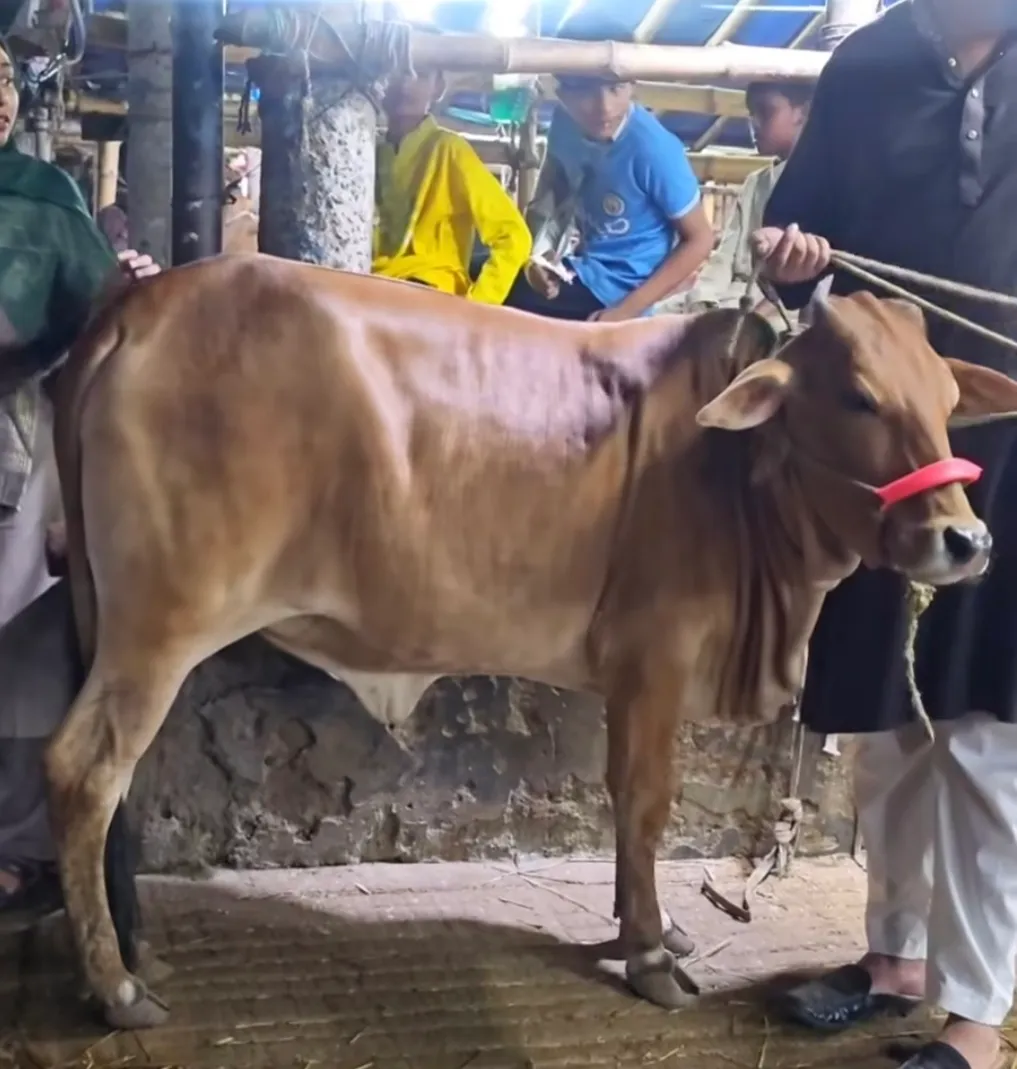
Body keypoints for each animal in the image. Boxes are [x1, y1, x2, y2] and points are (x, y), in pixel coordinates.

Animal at [41, 253, 1017, 1029]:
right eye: (858, 396)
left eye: (944, 400)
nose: (964, 539)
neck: (739, 480)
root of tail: (142, 303)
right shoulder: (656, 659)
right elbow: (645, 802)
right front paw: (649, 953)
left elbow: (625, 803)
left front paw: (646, 929)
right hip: (160, 625)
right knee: (85, 769)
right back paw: (116, 987)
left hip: (119, 625)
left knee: (117, 780)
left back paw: (134, 950)